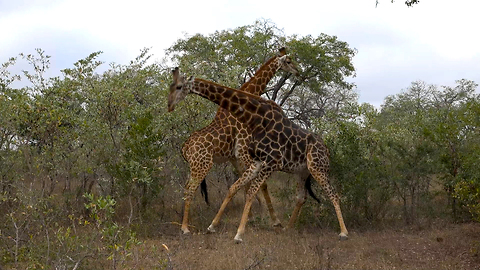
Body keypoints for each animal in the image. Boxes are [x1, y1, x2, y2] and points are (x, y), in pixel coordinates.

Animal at [169, 67, 348, 243]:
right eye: (172, 86)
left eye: (178, 86)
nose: (169, 105)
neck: (255, 117)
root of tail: (326, 149)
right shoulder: (255, 161)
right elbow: (237, 187)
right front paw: (215, 226)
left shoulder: (267, 161)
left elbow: (250, 190)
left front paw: (241, 232)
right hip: (301, 172)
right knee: (301, 197)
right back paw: (288, 228)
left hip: (317, 167)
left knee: (333, 194)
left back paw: (343, 232)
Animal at [178, 48, 302, 234]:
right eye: (288, 61)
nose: (298, 72)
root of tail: (184, 148)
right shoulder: (244, 150)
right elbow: (259, 184)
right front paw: (273, 220)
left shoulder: (234, 156)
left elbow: (243, 184)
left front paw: (250, 217)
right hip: (203, 164)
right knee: (190, 189)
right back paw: (185, 228)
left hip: (193, 165)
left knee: (186, 187)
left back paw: (188, 221)